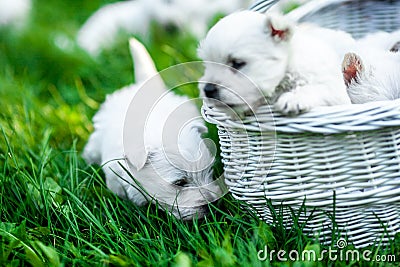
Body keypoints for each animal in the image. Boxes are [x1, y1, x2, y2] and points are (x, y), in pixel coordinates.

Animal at [198, 10, 354, 115]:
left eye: (237, 63)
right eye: (207, 65)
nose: (208, 90)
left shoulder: (335, 93)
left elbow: (317, 88)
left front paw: (294, 98)